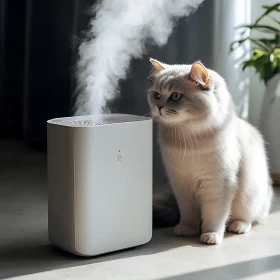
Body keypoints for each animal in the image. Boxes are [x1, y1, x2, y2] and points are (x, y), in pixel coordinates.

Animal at [149, 58, 274, 244]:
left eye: (175, 96)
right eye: (156, 95)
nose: (159, 106)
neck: (187, 139)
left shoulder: (217, 184)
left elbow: (214, 216)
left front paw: (211, 236)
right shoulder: (181, 184)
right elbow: (188, 214)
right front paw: (187, 230)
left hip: (250, 196)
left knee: (249, 218)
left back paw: (238, 226)